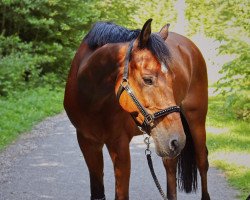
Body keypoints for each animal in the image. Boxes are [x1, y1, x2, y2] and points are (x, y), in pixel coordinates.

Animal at [63, 19, 210, 200]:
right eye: (148, 79)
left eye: (172, 78)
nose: (177, 140)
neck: (92, 101)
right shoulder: (87, 143)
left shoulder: (119, 145)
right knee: (170, 166)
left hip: (195, 121)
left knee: (202, 162)